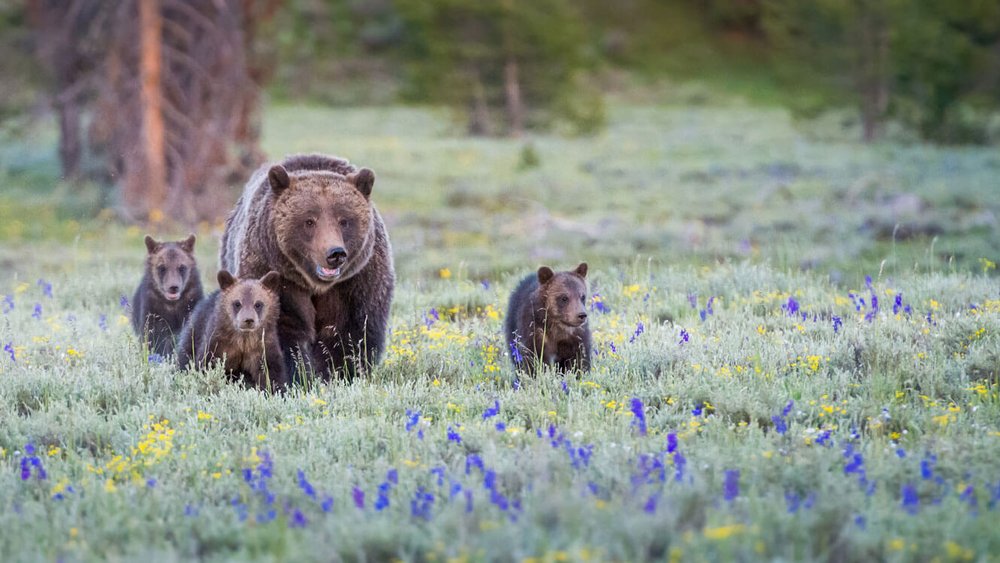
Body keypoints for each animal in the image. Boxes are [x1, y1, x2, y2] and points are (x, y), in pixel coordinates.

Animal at [221, 155, 392, 378]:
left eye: (344, 220)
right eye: (309, 221)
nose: (335, 254)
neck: (315, 285)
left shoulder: (356, 283)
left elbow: (350, 334)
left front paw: (339, 372)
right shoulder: (275, 275)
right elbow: (282, 330)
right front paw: (298, 373)